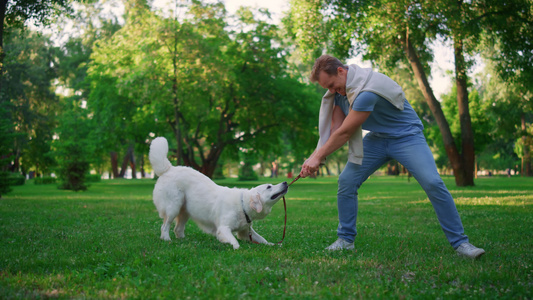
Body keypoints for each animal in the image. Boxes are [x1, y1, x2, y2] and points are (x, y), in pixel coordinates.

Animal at [148, 137, 286, 250]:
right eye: (269, 186)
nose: (285, 182)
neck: (242, 205)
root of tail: (168, 169)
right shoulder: (223, 228)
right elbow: (234, 240)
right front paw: (237, 247)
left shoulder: (245, 231)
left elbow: (262, 239)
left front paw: (273, 245)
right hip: (173, 208)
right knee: (165, 226)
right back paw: (167, 239)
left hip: (185, 211)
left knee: (177, 229)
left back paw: (185, 241)